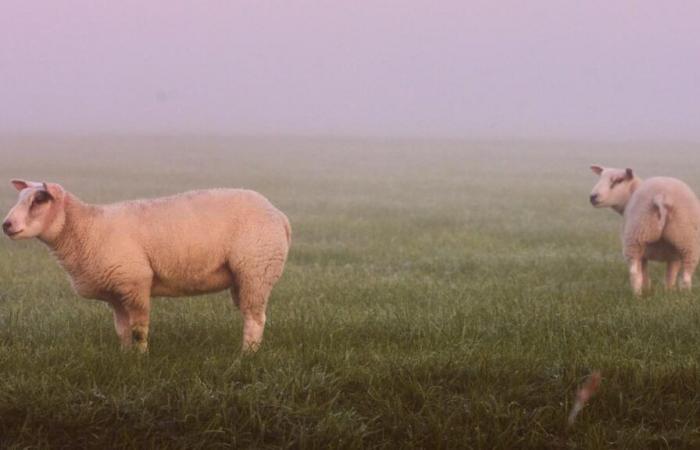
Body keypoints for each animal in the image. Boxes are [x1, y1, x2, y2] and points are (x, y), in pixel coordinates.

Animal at [1, 179, 292, 352]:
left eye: (39, 200)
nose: (6, 225)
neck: (88, 228)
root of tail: (278, 214)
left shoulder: (135, 281)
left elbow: (139, 329)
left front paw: (141, 358)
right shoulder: (115, 291)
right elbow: (122, 329)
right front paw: (125, 355)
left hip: (257, 268)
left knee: (255, 319)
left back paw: (246, 355)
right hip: (247, 275)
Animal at [592, 165, 700, 296]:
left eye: (618, 180)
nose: (592, 197)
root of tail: (662, 196)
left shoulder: (645, 255)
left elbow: (645, 276)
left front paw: (647, 291)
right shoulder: (674, 256)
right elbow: (670, 277)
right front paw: (668, 293)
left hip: (635, 238)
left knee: (634, 274)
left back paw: (636, 296)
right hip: (687, 240)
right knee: (686, 277)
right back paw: (685, 296)